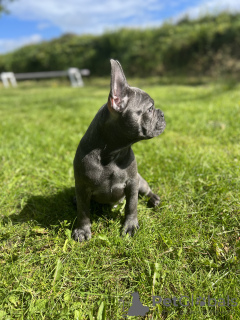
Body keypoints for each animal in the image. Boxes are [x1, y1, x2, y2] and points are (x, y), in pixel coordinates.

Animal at [72, 60, 165, 241]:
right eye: (150, 109)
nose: (162, 113)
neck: (112, 153)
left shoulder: (132, 183)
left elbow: (132, 206)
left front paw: (130, 226)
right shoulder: (81, 188)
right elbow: (83, 211)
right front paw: (82, 230)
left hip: (140, 181)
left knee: (146, 191)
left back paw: (154, 199)